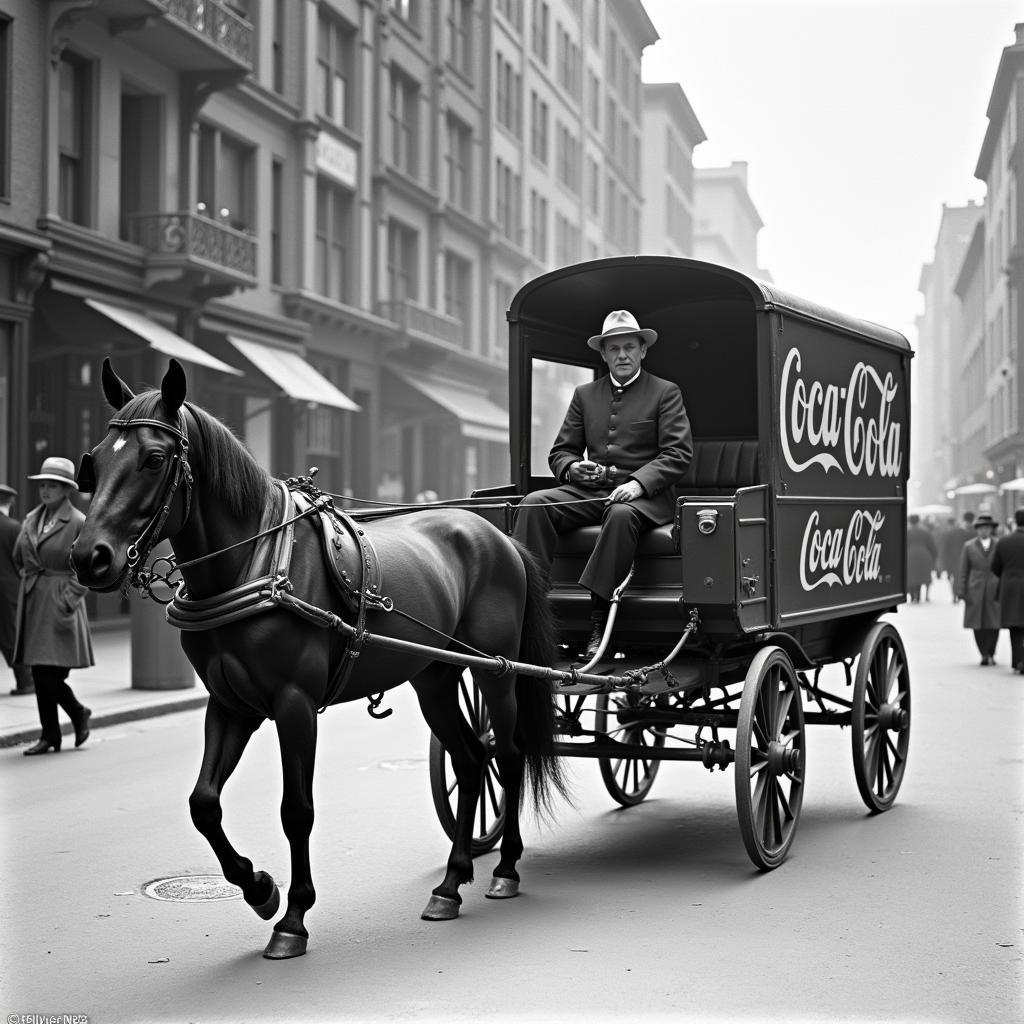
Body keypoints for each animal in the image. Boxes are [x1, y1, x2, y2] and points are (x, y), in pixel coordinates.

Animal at [72, 360, 569, 958]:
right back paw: (451, 882)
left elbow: (296, 810)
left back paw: (507, 868)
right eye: (95, 460)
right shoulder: (230, 703)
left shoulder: (294, 704)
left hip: (495, 671)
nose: (88, 558)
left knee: (510, 755)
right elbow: (204, 803)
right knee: (472, 759)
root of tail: (496, 533)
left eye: (152, 458)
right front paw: (258, 888)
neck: (252, 562)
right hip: (434, 677)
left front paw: (293, 917)